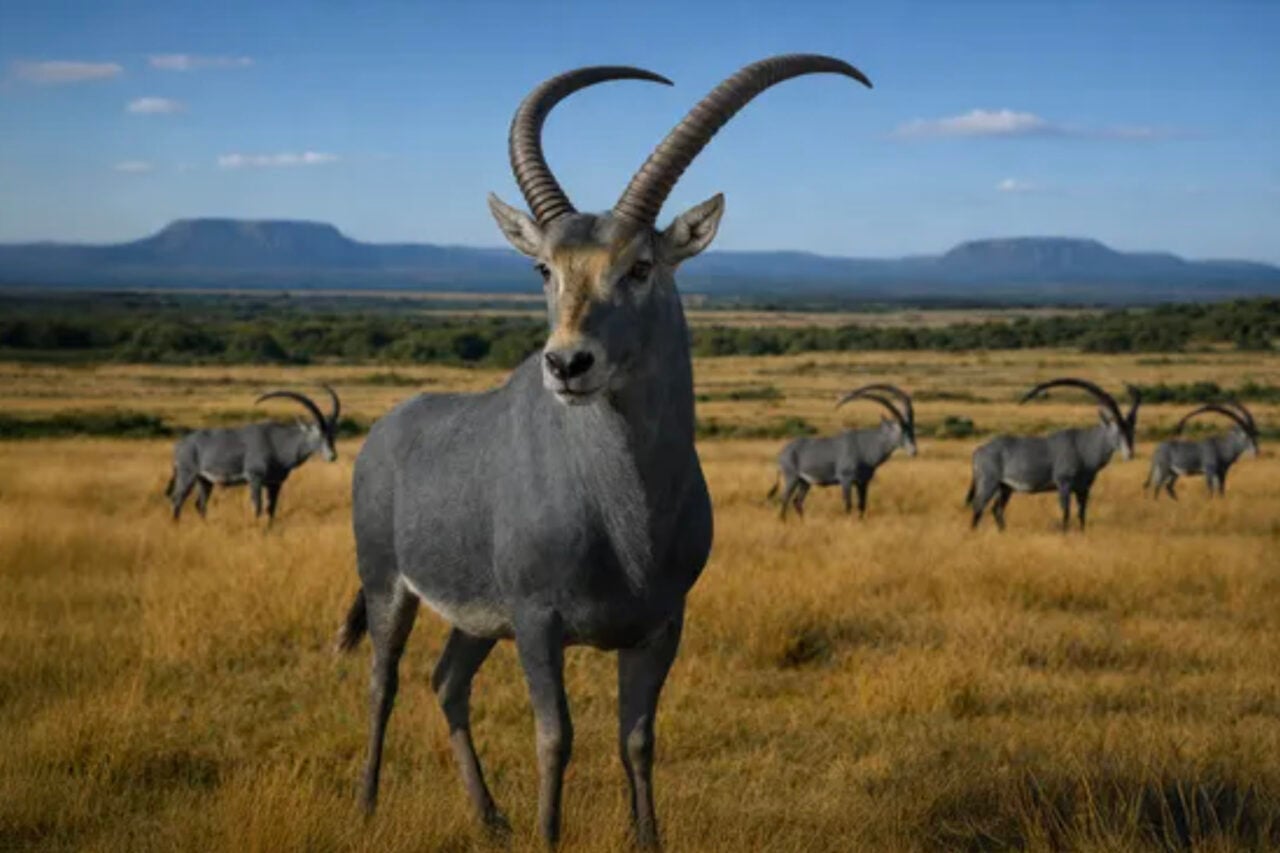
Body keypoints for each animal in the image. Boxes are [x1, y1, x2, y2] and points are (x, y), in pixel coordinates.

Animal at [166, 385, 340, 524]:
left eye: (332, 433)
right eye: (318, 432)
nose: (332, 456)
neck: (278, 443)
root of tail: (180, 444)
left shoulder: (274, 484)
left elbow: (271, 510)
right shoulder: (255, 479)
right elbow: (257, 508)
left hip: (204, 480)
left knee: (200, 504)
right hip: (187, 475)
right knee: (177, 499)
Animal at [333, 56, 871, 847]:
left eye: (641, 265)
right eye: (544, 269)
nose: (566, 364)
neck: (624, 512)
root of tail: (387, 430)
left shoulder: (660, 625)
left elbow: (637, 738)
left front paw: (647, 836)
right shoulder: (538, 622)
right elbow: (556, 736)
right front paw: (548, 834)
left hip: (475, 620)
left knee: (447, 681)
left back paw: (489, 815)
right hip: (388, 585)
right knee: (385, 680)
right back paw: (367, 805)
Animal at [767, 384, 916, 519]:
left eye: (911, 428)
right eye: (901, 429)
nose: (913, 451)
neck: (866, 445)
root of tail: (782, 452)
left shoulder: (863, 482)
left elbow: (862, 505)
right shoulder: (846, 480)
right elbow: (848, 505)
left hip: (804, 482)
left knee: (797, 502)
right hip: (791, 478)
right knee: (784, 500)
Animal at [967, 378, 1140, 531]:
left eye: (1132, 430)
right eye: (1117, 429)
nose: (1130, 453)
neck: (1084, 446)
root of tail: (979, 450)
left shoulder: (1083, 489)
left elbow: (1082, 514)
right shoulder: (1064, 484)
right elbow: (1066, 513)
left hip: (1005, 488)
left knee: (996, 509)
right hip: (989, 483)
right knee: (978, 507)